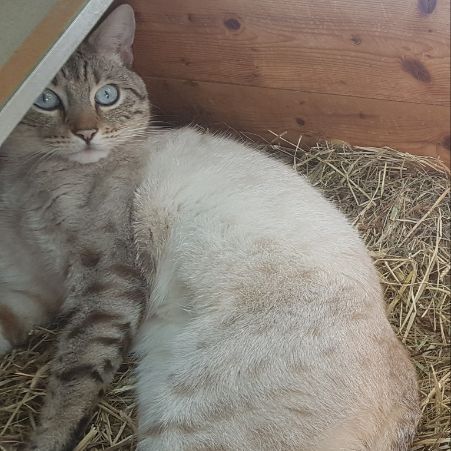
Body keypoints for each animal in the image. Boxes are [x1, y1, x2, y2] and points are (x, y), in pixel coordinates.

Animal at [0, 4, 420, 451]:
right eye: (46, 99)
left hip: (189, 428)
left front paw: (48, 437)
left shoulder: (106, 278)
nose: (85, 133)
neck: (32, 176)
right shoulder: (31, 289)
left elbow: (74, 375)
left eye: (106, 96)